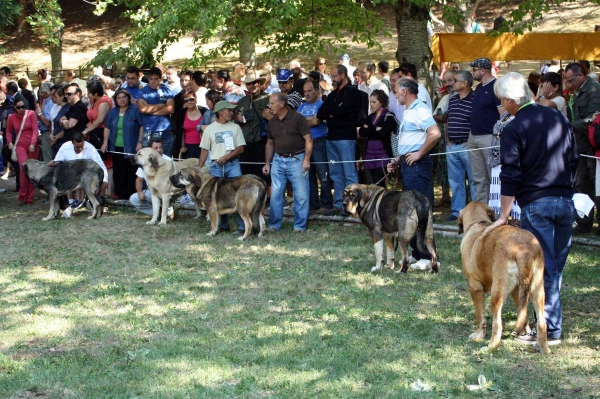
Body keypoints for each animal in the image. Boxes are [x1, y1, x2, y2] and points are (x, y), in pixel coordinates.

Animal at [458, 203, 552, 354]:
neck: (478, 223)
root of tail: (524, 250)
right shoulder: (516, 290)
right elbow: (522, 313)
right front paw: (525, 331)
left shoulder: (475, 287)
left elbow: (480, 316)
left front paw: (478, 335)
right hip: (537, 291)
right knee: (542, 323)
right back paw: (545, 350)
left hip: (497, 294)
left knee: (497, 326)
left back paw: (489, 347)